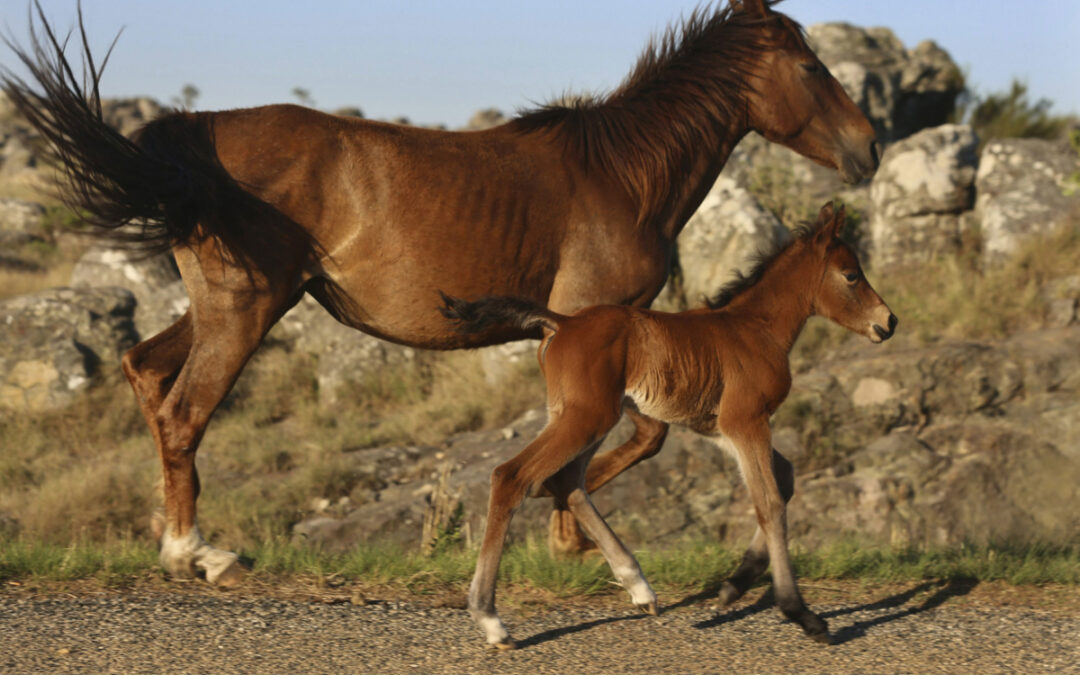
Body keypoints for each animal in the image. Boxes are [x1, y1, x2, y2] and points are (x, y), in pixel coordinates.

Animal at [1, 0, 879, 585]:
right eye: (811, 67)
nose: (868, 148)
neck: (620, 173)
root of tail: (193, 139)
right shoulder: (595, 330)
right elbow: (626, 441)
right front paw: (571, 538)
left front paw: (573, 536)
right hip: (243, 308)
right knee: (184, 410)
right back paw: (198, 552)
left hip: (231, 305)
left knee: (146, 373)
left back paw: (169, 537)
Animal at [441, 202, 897, 648]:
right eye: (851, 275)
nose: (889, 321)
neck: (756, 329)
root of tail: (562, 322)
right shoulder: (745, 421)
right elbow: (768, 500)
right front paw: (800, 613)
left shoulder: (721, 429)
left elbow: (783, 480)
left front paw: (734, 584)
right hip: (587, 417)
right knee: (512, 476)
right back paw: (491, 620)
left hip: (585, 417)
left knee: (567, 481)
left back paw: (639, 587)